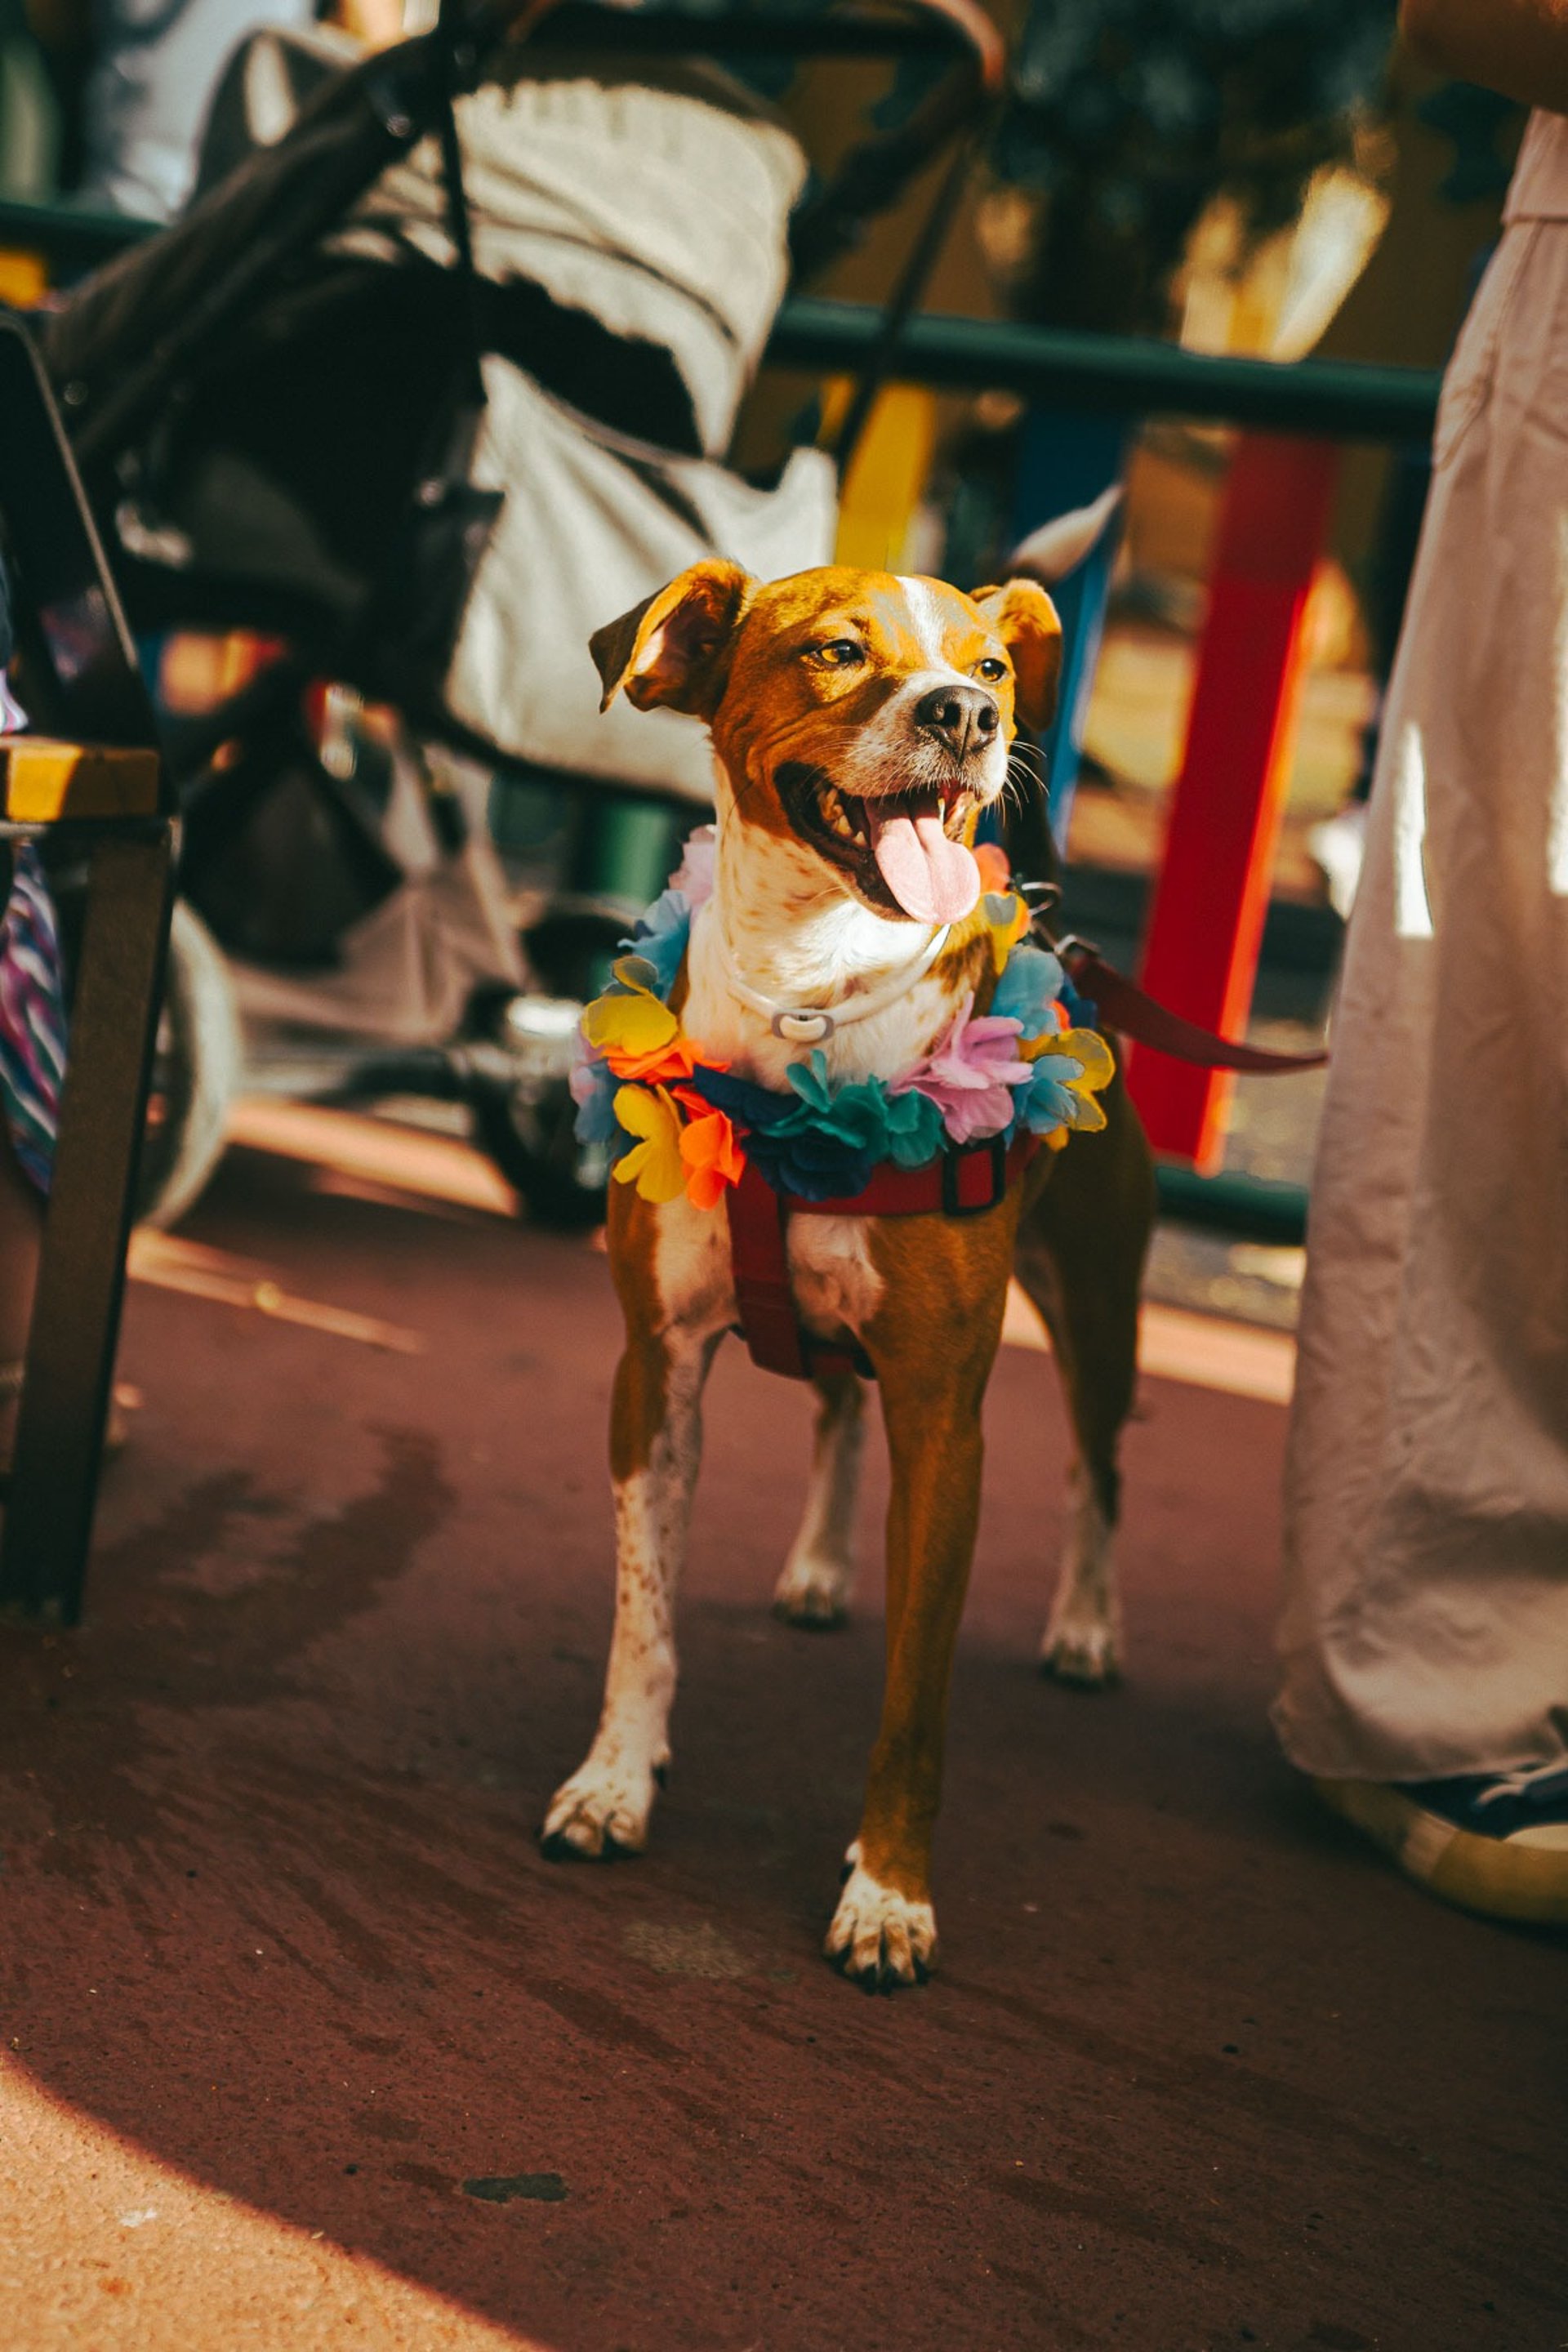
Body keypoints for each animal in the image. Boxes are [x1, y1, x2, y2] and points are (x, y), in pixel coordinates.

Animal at [541, 560, 1155, 1989]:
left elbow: (914, 1702)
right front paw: (617, 1781)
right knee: (832, 1409)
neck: (810, 987)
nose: (967, 718)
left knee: (1096, 1469)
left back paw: (1087, 1627)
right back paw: (821, 1568)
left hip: (1101, 1312)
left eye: (990, 668)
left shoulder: (947, 1420)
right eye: (835, 651)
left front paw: (888, 1896)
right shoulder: (655, 1371)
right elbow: (643, 1619)